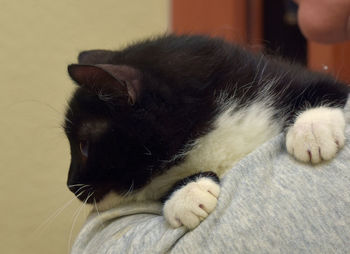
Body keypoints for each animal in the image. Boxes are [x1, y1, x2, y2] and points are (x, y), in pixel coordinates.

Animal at [64, 34, 348, 230]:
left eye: (83, 146)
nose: (70, 185)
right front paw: (187, 194)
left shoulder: (276, 75)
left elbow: (325, 85)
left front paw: (313, 129)